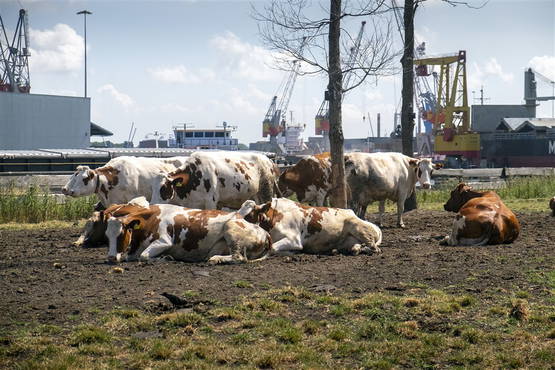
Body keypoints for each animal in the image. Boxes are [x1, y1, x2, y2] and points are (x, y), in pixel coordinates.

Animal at [105, 202, 272, 264]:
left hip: (231, 229)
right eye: (107, 236)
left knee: (239, 257)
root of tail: (264, 232)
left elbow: (144, 256)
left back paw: (216, 259)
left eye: (121, 234)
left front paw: (165, 257)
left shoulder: (164, 241)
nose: (111, 257)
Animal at [152, 151, 282, 210]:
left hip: (267, 192)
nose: (153, 205)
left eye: (164, 188)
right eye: (152, 188)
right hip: (256, 196)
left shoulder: (211, 201)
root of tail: (269, 160)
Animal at [239, 198, 382, 256]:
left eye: (249, 215)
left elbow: (273, 248)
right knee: (355, 247)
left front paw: (291, 252)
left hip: (358, 228)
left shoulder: (294, 240)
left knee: (375, 249)